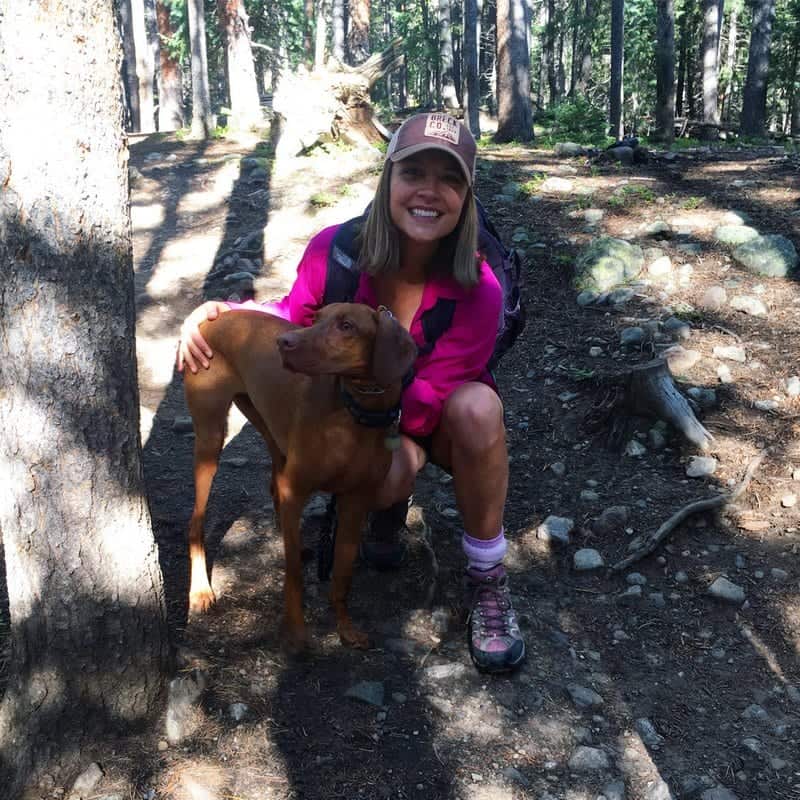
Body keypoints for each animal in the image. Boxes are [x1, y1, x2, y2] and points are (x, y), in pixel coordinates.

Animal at [184, 304, 416, 648]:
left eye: (347, 326)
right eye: (316, 317)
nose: (283, 343)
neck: (353, 415)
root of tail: (214, 318)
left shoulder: (355, 503)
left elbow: (342, 575)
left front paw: (345, 627)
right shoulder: (297, 491)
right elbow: (293, 573)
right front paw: (294, 632)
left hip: (269, 428)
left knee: (273, 484)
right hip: (210, 440)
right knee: (196, 522)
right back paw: (200, 590)